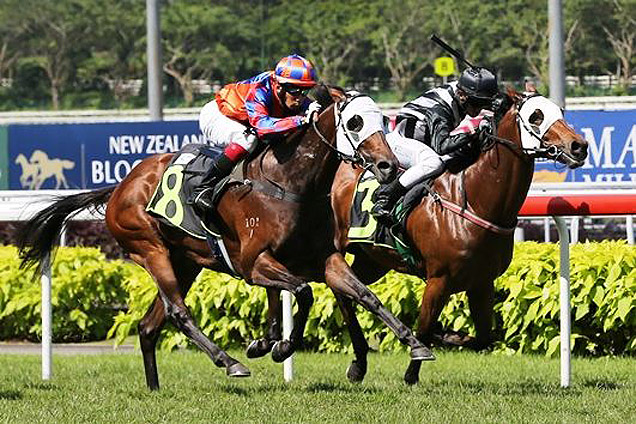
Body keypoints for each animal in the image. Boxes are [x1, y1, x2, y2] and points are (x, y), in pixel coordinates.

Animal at [251, 84, 588, 382]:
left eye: (559, 111)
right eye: (536, 117)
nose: (579, 146)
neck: (474, 199)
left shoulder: (482, 282)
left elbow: (483, 338)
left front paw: (447, 335)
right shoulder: (438, 279)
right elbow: (425, 328)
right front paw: (413, 370)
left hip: (371, 260)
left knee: (349, 291)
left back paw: (355, 361)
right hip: (336, 248)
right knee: (343, 295)